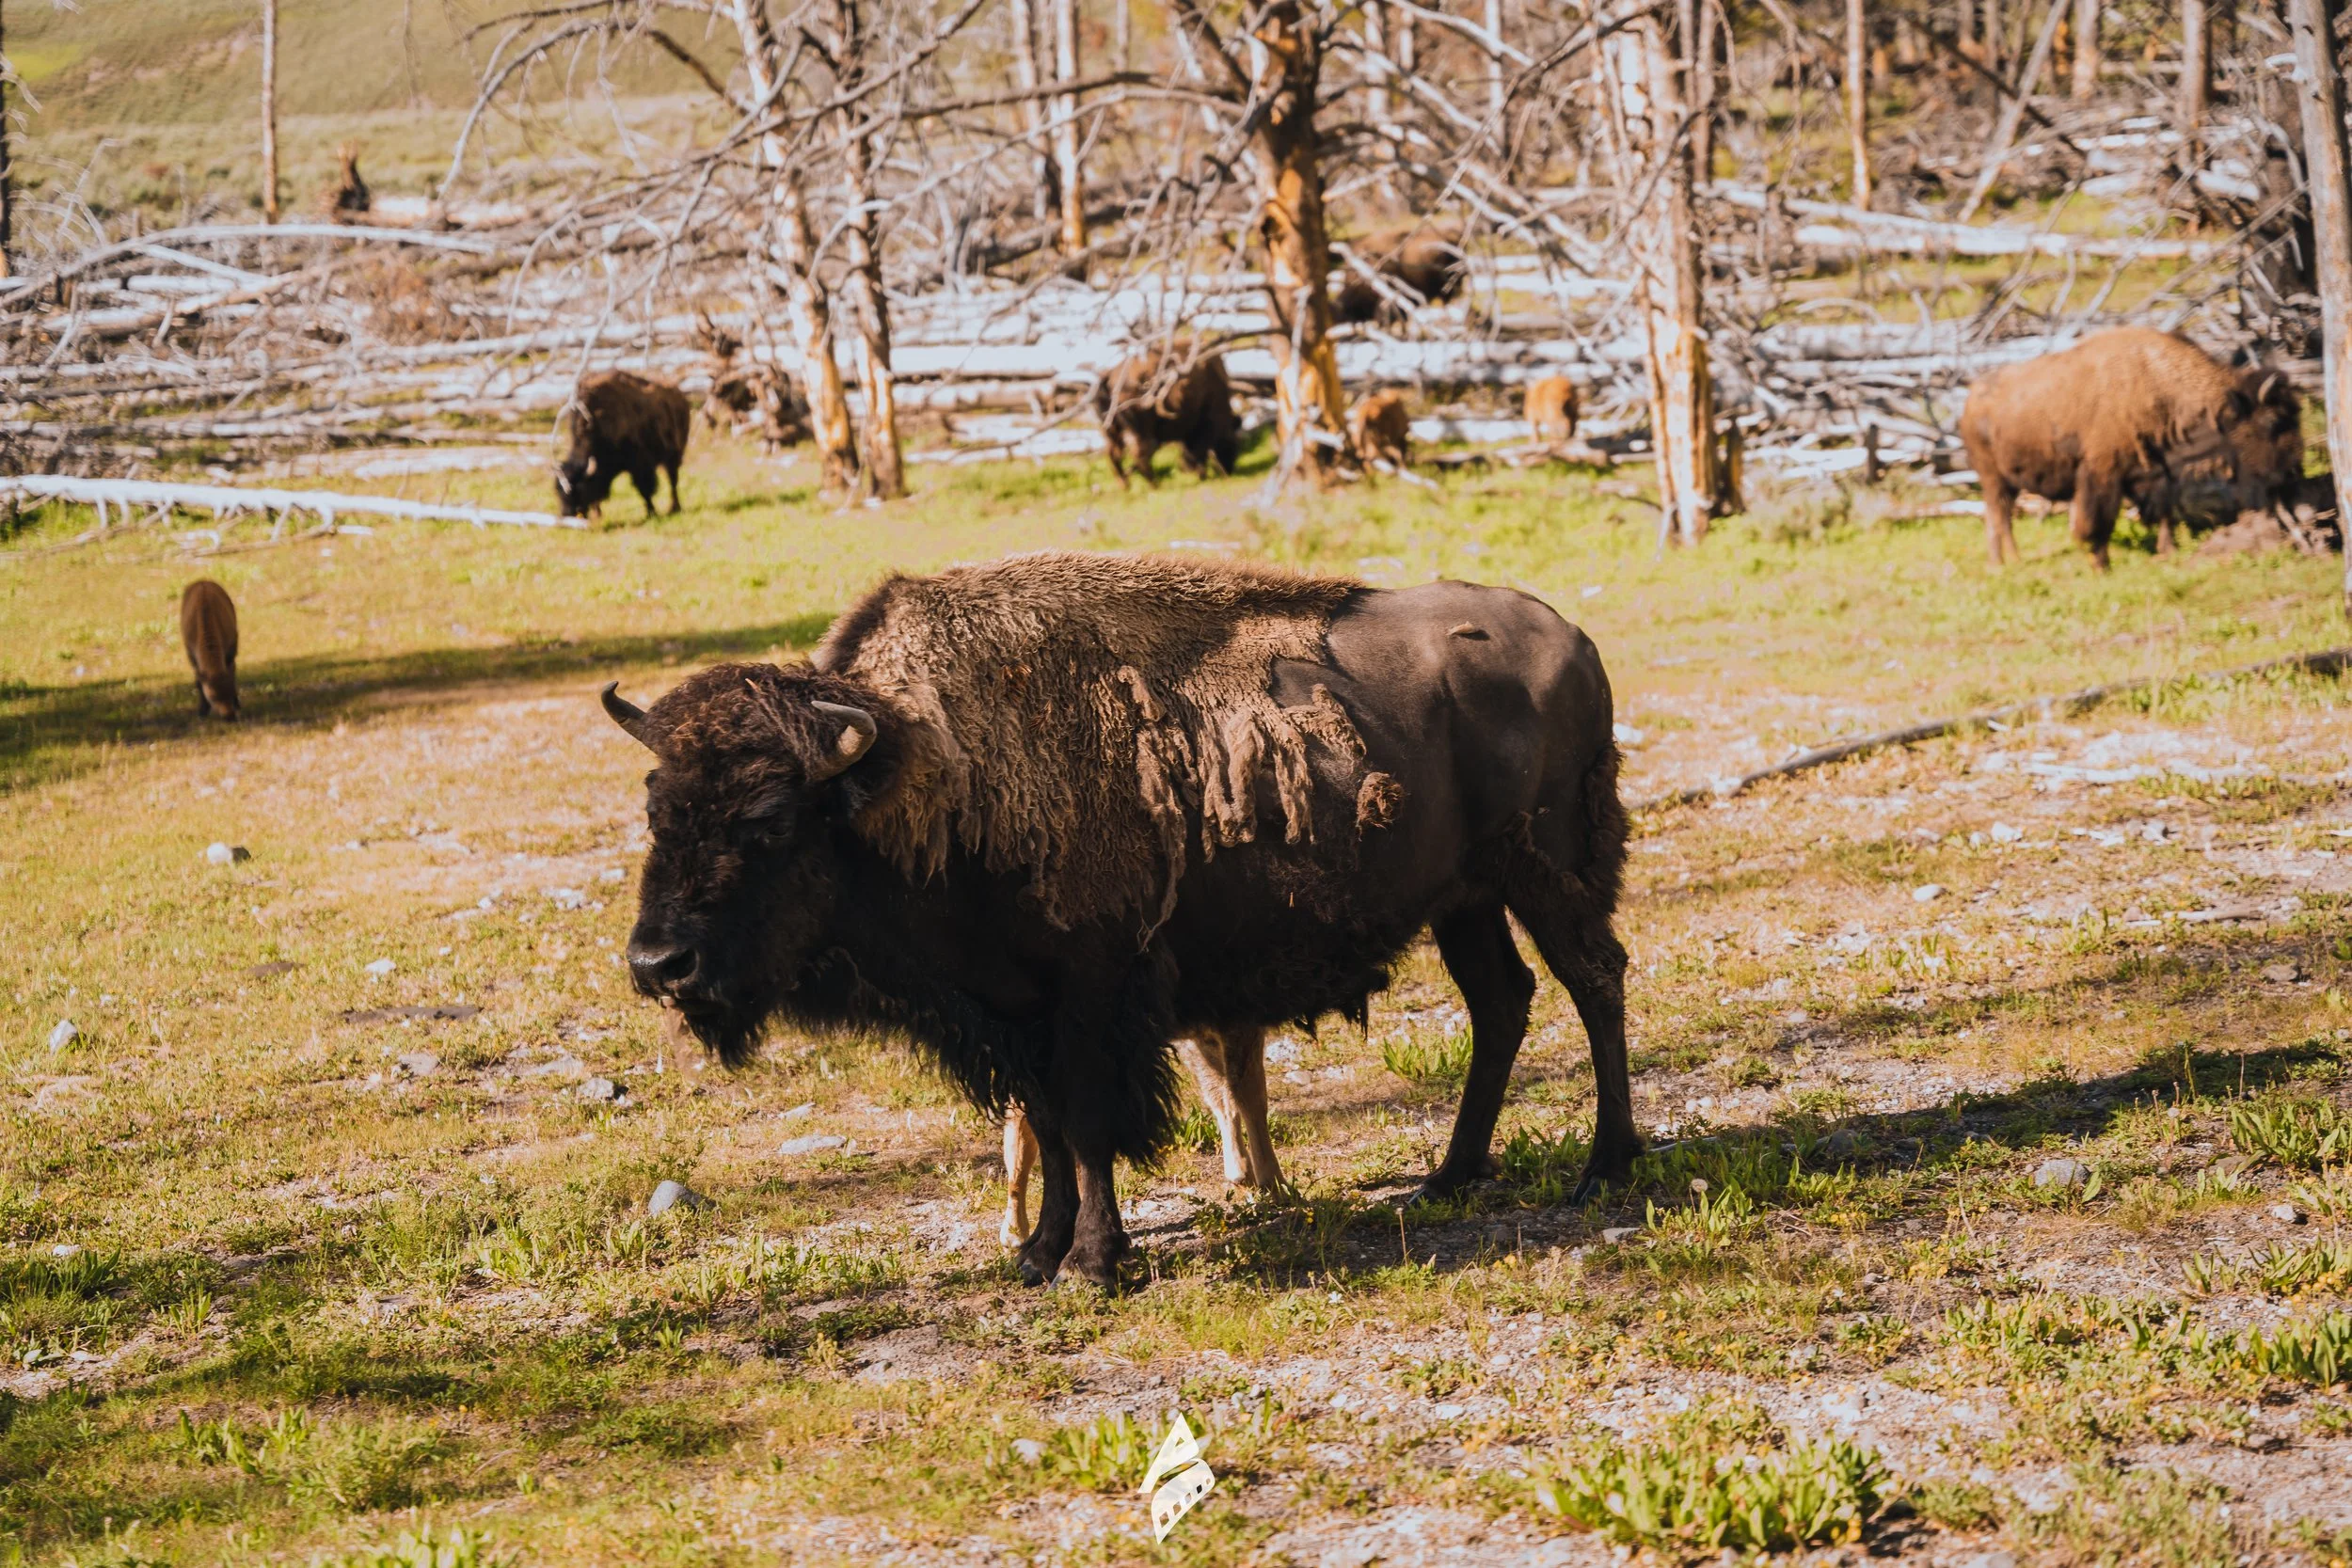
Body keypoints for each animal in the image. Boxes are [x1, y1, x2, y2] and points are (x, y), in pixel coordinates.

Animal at [180, 580, 239, 720]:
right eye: (212, 697)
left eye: (230, 691)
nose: (229, 716)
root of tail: (202, 581)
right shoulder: (192, 657)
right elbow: (198, 682)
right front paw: (202, 711)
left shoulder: (231, 652)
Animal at [555, 371, 691, 520]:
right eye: (557, 491)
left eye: (580, 489)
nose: (567, 514)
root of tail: (681, 396)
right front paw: (598, 515)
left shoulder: (640, 465)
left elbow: (645, 489)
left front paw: (651, 513)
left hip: (674, 455)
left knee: (673, 480)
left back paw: (675, 508)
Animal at [605, 552, 1635, 1289]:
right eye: (656, 805)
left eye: (769, 819)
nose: (659, 963)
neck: (920, 770)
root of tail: (1575, 637)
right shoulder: (1018, 1013)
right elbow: (1053, 1131)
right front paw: (1038, 1254)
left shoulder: (1093, 1000)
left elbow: (1091, 1125)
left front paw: (1093, 1264)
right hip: (1467, 899)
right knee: (1502, 1001)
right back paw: (1449, 1175)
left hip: (1548, 874)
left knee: (1594, 980)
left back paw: (1605, 1167)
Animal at [1092, 349, 1242, 487]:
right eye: (1232, 441)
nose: (1229, 471)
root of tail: (1109, 375)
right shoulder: (1206, 425)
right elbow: (1197, 451)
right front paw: (1200, 475)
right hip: (1139, 429)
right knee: (1139, 452)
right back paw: (1155, 484)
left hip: (1111, 430)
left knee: (1113, 453)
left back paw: (1125, 485)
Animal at [1960, 328, 2303, 568]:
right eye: (2274, 421)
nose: (2293, 472)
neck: (2156, 380)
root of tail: (1972, 396)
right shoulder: (2102, 473)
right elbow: (2097, 520)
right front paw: (2100, 565)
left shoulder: (2157, 468)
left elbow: (2166, 511)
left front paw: (2167, 550)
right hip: (1992, 478)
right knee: (1997, 516)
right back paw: (2000, 564)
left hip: (2008, 480)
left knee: (2002, 518)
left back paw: (2013, 560)